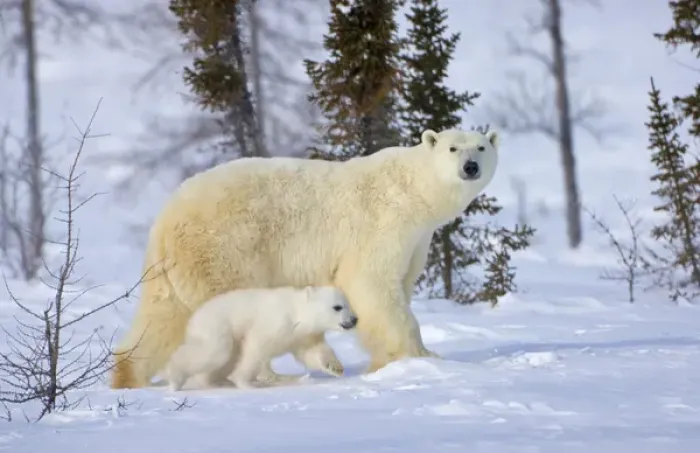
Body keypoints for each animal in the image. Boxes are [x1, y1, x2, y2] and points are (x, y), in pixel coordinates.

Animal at [165, 285, 358, 391]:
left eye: (348, 304)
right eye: (337, 307)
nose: (354, 319)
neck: (296, 313)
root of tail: (194, 317)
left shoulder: (302, 336)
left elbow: (311, 352)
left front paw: (336, 367)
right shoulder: (275, 323)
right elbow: (256, 348)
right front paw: (245, 383)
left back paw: (216, 382)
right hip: (217, 326)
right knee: (214, 352)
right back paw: (176, 380)